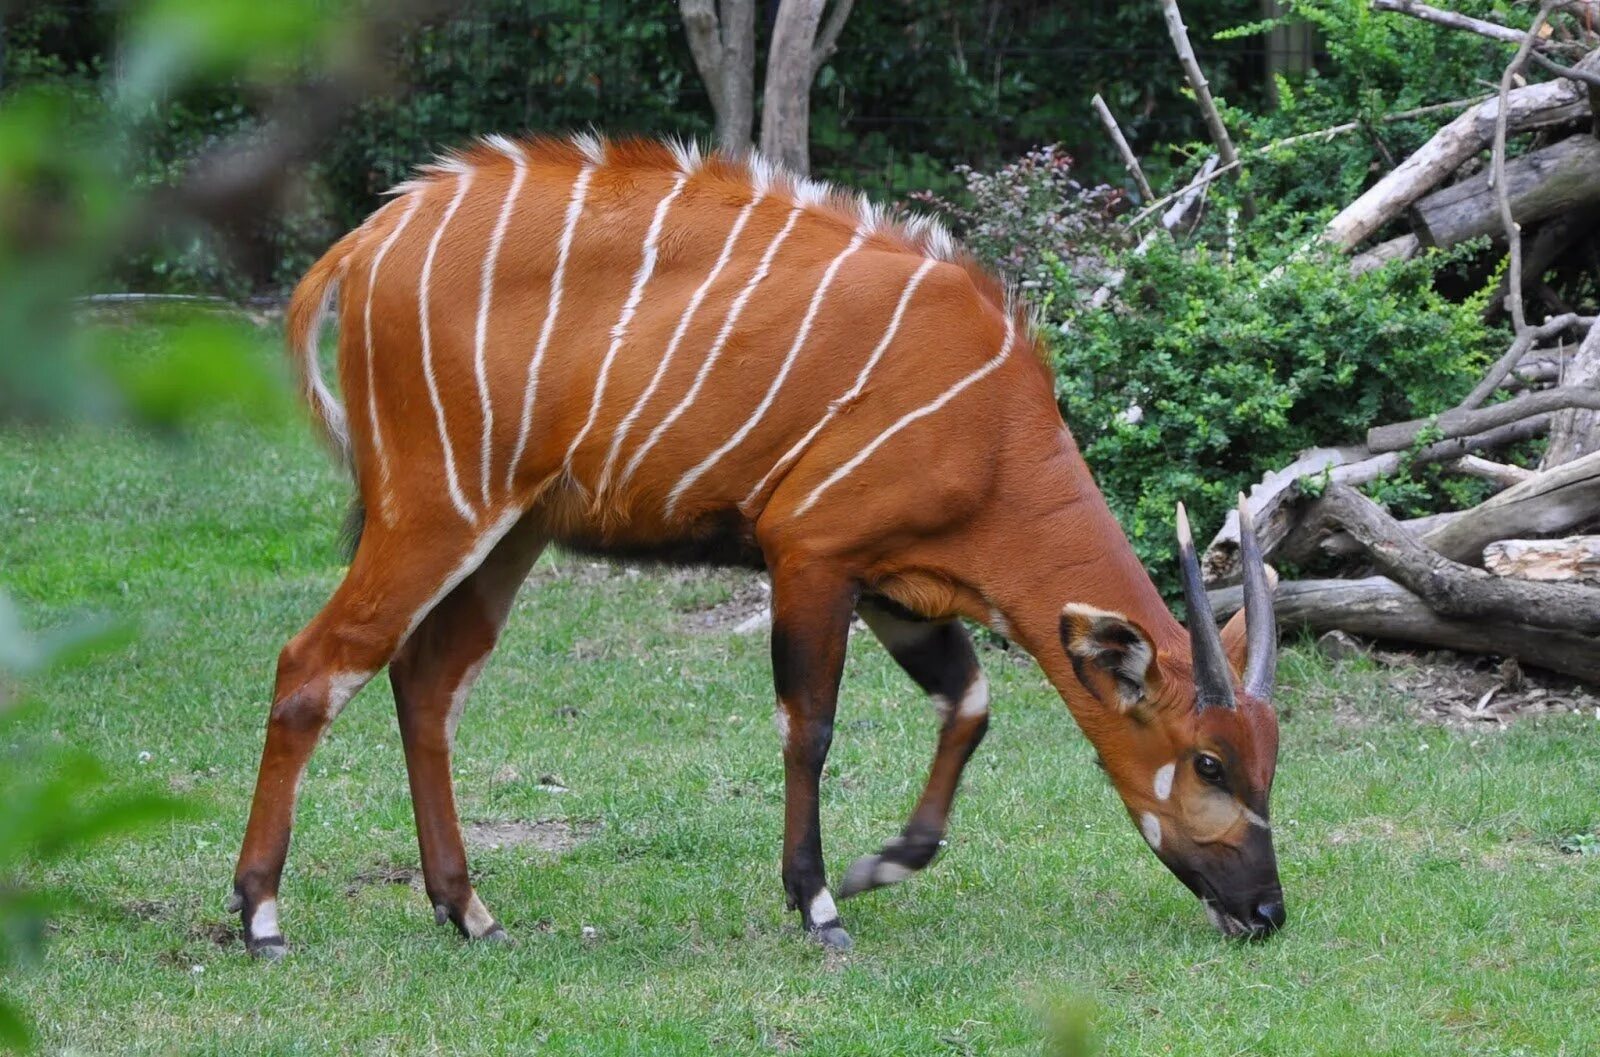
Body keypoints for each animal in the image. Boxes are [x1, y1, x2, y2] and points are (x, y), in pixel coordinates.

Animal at [232, 134, 1286, 959]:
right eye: (1209, 763)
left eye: (1269, 757)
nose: (1266, 910)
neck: (996, 433)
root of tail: (367, 241)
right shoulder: (812, 551)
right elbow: (809, 724)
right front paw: (819, 904)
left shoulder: (899, 589)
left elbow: (970, 702)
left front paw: (881, 864)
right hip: (434, 510)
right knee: (313, 664)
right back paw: (262, 916)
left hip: (507, 534)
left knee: (427, 683)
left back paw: (469, 911)